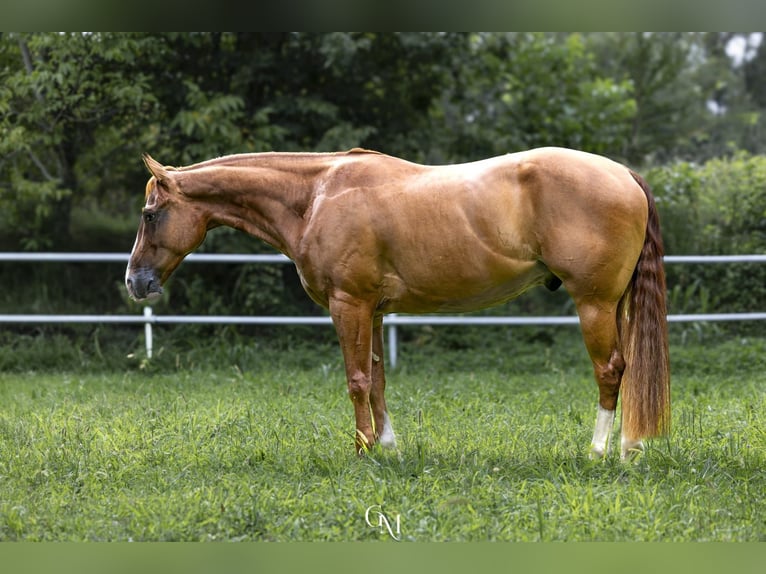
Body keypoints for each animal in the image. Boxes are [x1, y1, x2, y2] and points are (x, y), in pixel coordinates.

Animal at [125, 147, 670, 460]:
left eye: (150, 214)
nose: (134, 282)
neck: (317, 195)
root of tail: (623, 173)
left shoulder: (348, 304)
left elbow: (356, 379)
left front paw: (363, 450)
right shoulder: (374, 309)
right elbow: (378, 378)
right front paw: (388, 446)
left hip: (594, 303)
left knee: (611, 371)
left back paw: (600, 451)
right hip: (613, 305)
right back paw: (630, 445)